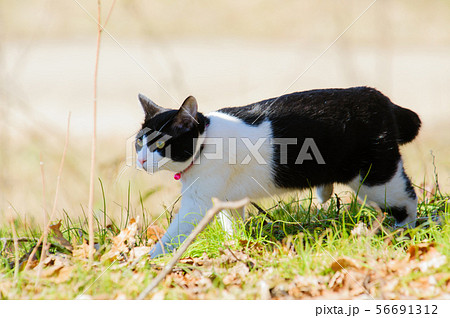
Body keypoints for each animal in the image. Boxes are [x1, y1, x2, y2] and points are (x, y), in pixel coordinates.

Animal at [135, 87, 420, 258]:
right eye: (139, 141)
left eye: (159, 145)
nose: (140, 159)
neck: (206, 142)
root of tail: (379, 97)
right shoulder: (226, 199)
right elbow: (232, 225)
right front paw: (236, 246)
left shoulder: (196, 202)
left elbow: (174, 232)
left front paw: (147, 260)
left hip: (376, 178)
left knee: (407, 199)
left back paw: (403, 233)